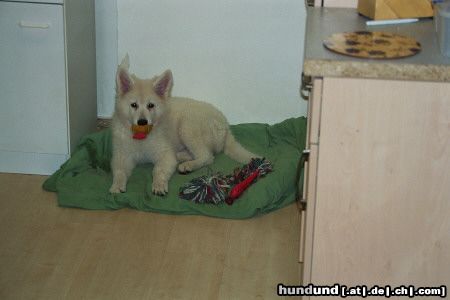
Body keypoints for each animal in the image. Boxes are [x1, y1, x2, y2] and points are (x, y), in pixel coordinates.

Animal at [109, 55, 258, 195]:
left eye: (150, 105)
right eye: (133, 105)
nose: (142, 122)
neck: (142, 136)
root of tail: (226, 125)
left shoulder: (165, 155)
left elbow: (158, 170)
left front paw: (159, 185)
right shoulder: (121, 155)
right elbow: (119, 171)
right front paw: (116, 186)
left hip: (187, 126)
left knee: (207, 156)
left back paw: (188, 165)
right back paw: (181, 156)